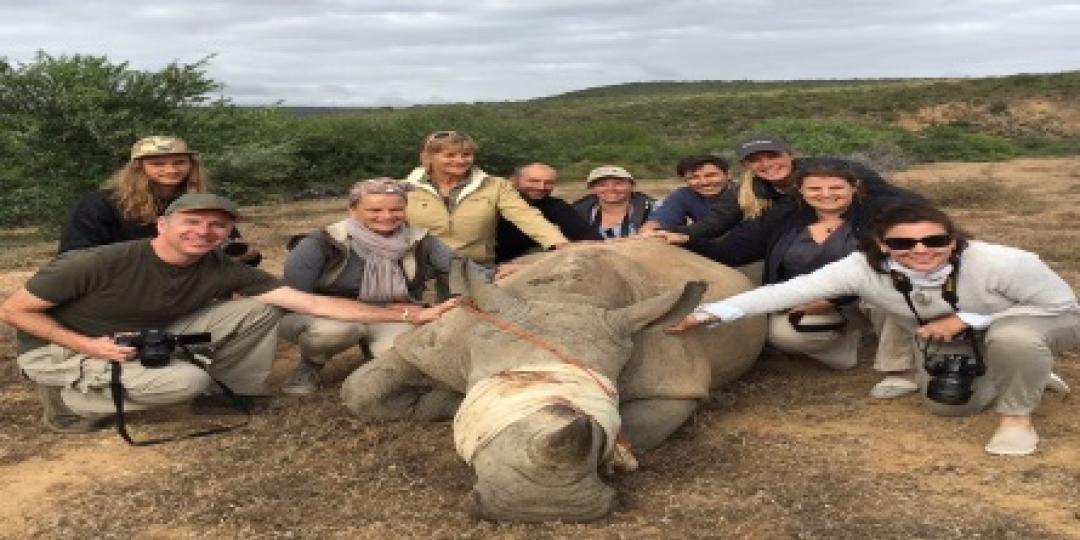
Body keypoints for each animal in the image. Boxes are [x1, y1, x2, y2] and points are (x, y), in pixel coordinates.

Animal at [341, 240, 764, 522]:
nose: (540, 507)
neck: (568, 298)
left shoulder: (675, 383)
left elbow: (637, 430)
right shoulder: (443, 339)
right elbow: (361, 390)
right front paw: (444, 402)